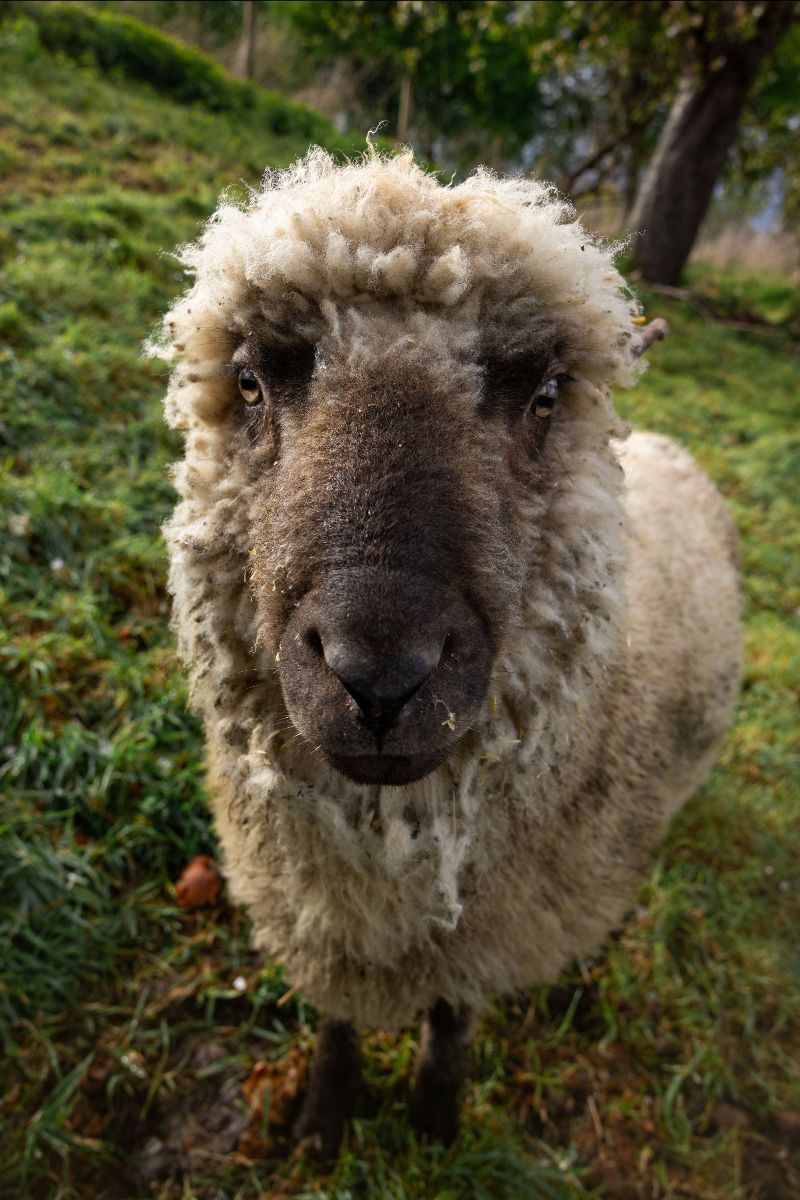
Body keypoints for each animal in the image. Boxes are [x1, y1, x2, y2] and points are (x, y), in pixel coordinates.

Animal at [155, 148, 741, 1157]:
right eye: (250, 382)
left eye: (546, 394)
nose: (380, 679)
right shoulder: (322, 914)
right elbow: (338, 1021)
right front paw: (323, 1121)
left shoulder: (492, 929)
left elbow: (453, 1015)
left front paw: (434, 1117)